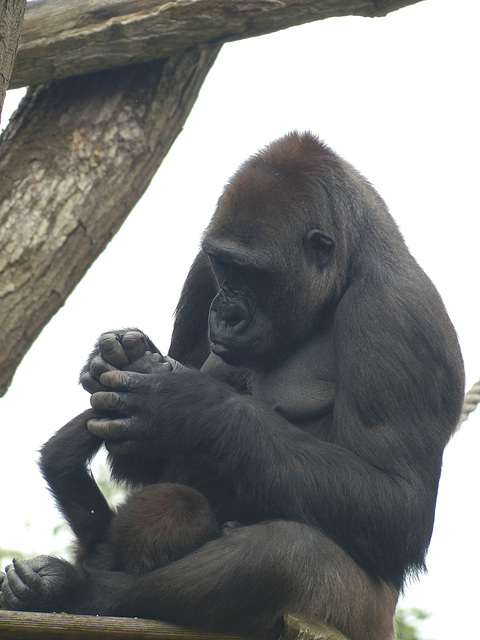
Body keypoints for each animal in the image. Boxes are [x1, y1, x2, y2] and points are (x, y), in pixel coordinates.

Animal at [0, 132, 464, 640]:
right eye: (225, 266)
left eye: (255, 275)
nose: (226, 314)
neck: (349, 264)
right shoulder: (202, 272)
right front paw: (122, 358)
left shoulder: (397, 315)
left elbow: (398, 507)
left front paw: (193, 408)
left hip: (360, 619)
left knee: (283, 553)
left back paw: (84, 591)